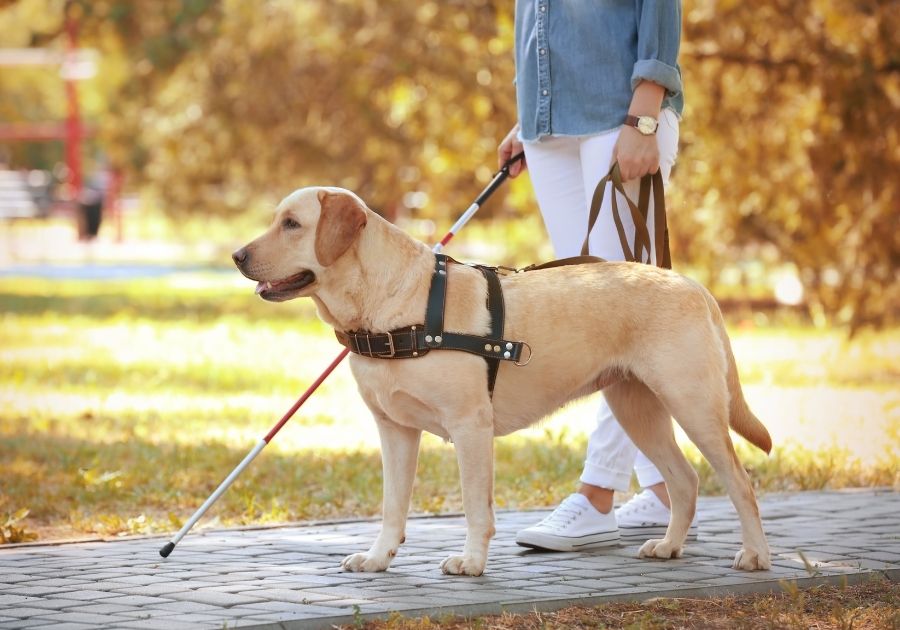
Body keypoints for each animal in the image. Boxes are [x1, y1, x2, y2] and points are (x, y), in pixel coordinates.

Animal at [234, 186, 772, 576]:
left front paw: (471, 562)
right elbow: (392, 507)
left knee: (740, 481)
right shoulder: (395, 430)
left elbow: (476, 506)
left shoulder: (470, 427)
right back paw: (669, 546)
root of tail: (693, 284)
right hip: (636, 408)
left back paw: (755, 555)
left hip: (693, 405)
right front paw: (379, 557)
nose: (238, 255)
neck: (391, 306)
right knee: (684, 480)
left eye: (292, 224)